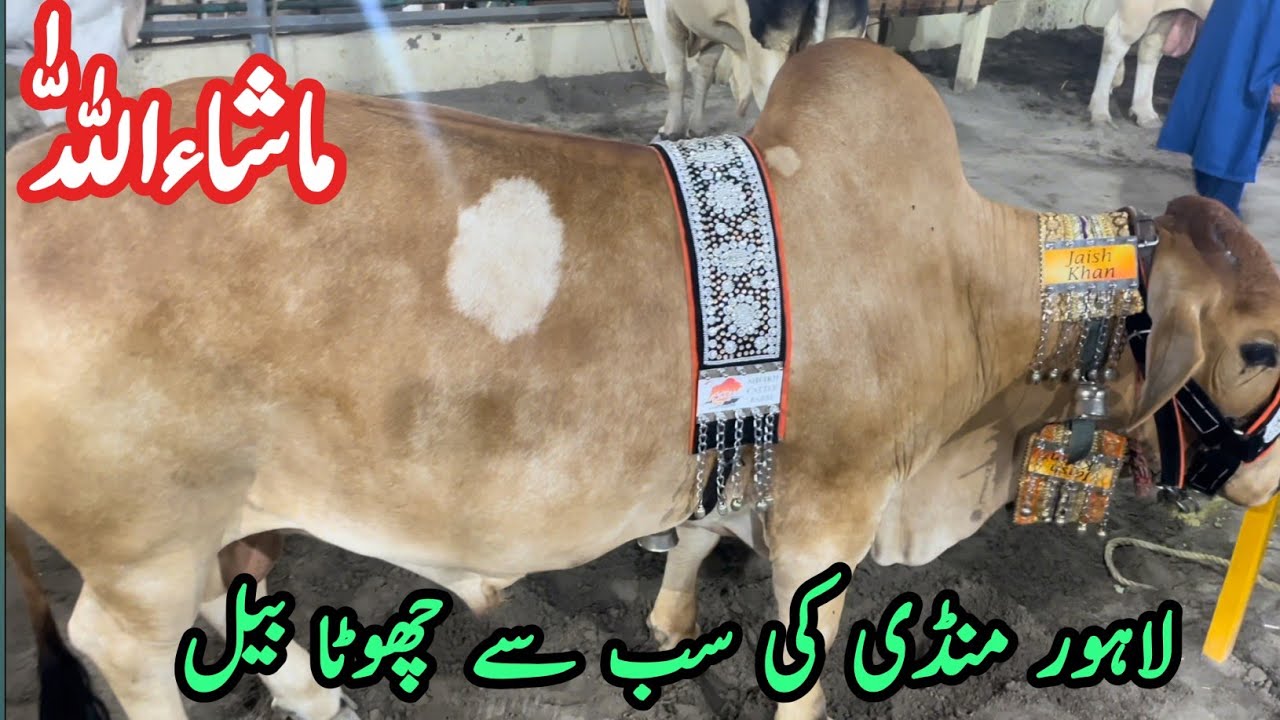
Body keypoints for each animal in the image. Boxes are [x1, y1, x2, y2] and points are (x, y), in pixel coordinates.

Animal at [7, 37, 1280, 720]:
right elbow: (806, 648)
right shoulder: (831, 503)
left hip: (197, 516)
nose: (1264, 479)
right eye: (1259, 347)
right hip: (138, 538)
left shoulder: (741, 446)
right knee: (125, 644)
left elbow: (701, 532)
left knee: (224, 597)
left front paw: (668, 624)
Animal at [647, 0, 870, 139]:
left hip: (768, 60)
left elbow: (675, 76)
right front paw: (697, 127)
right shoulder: (712, 30)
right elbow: (704, 74)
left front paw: (670, 130)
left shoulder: (661, 13)